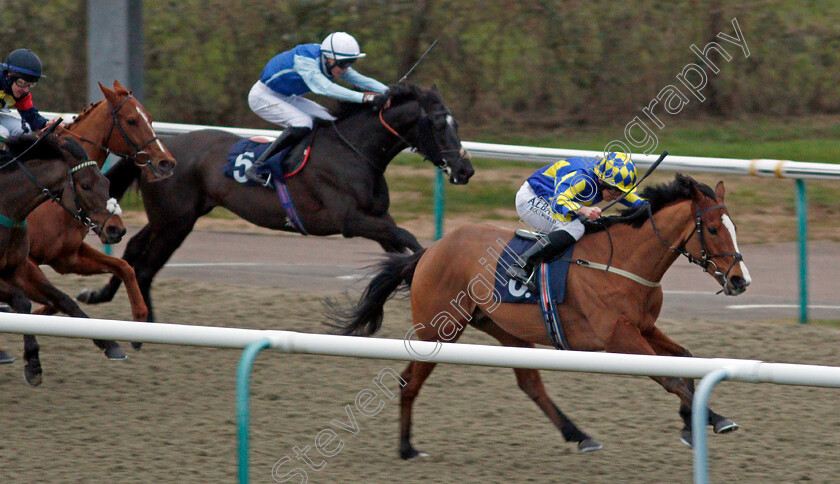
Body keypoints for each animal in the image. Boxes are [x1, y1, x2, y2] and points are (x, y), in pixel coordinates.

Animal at [0, 133, 128, 386]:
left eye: (106, 182)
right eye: (85, 185)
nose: (116, 229)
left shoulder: (20, 268)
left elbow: (64, 300)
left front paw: (110, 344)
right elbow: (21, 301)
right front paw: (33, 362)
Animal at [26, 80, 176, 336]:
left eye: (150, 117)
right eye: (131, 120)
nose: (166, 163)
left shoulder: (66, 256)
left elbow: (124, 267)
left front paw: (140, 314)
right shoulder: (28, 258)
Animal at [82, 84, 476, 322]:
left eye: (456, 123)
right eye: (439, 125)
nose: (465, 169)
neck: (355, 152)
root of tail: (158, 152)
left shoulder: (380, 219)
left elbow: (404, 246)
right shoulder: (351, 221)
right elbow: (409, 239)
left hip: (171, 217)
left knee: (135, 251)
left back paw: (101, 296)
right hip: (175, 222)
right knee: (146, 264)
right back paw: (142, 322)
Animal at [326, 174, 748, 458]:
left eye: (734, 227)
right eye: (713, 229)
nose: (740, 280)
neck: (623, 261)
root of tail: (430, 251)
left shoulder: (645, 327)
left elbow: (685, 362)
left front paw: (696, 423)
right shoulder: (617, 336)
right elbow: (671, 377)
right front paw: (712, 419)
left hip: (504, 329)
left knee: (530, 383)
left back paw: (579, 435)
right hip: (437, 329)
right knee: (407, 382)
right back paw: (406, 447)